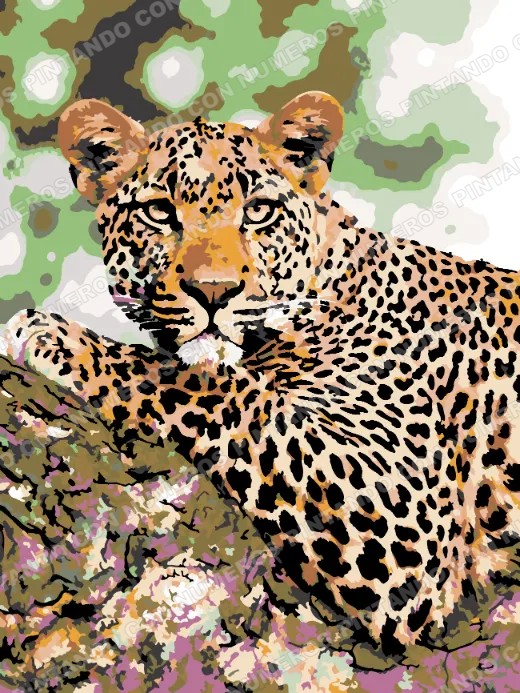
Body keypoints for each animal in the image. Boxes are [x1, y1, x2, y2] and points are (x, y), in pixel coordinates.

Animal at [2, 91, 520, 654]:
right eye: (160, 212)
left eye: (259, 212)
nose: (213, 291)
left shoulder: (406, 522)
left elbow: (212, 385)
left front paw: (55, 336)